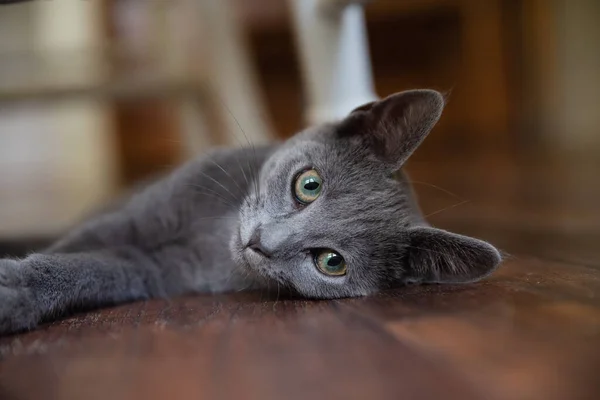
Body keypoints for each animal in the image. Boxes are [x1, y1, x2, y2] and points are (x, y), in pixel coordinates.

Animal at [0, 90, 500, 334]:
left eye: (331, 262)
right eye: (308, 185)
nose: (261, 242)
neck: (213, 233)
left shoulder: (155, 269)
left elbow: (92, 270)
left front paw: (18, 292)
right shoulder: (140, 216)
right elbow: (81, 242)